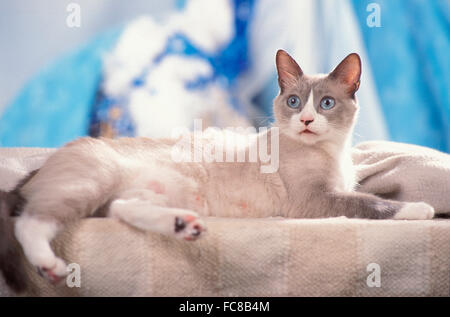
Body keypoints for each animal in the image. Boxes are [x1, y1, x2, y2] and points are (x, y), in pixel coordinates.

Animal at [0, 49, 436, 292]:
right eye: (295, 102)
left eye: (326, 104)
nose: (307, 120)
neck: (331, 152)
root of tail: (41, 166)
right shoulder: (316, 201)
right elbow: (371, 202)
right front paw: (423, 209)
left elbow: (366, 194)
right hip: (90, 182)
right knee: (30, 223)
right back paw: (50, 266)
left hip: (134, 193)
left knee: (121, 209)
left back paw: (183, 226)